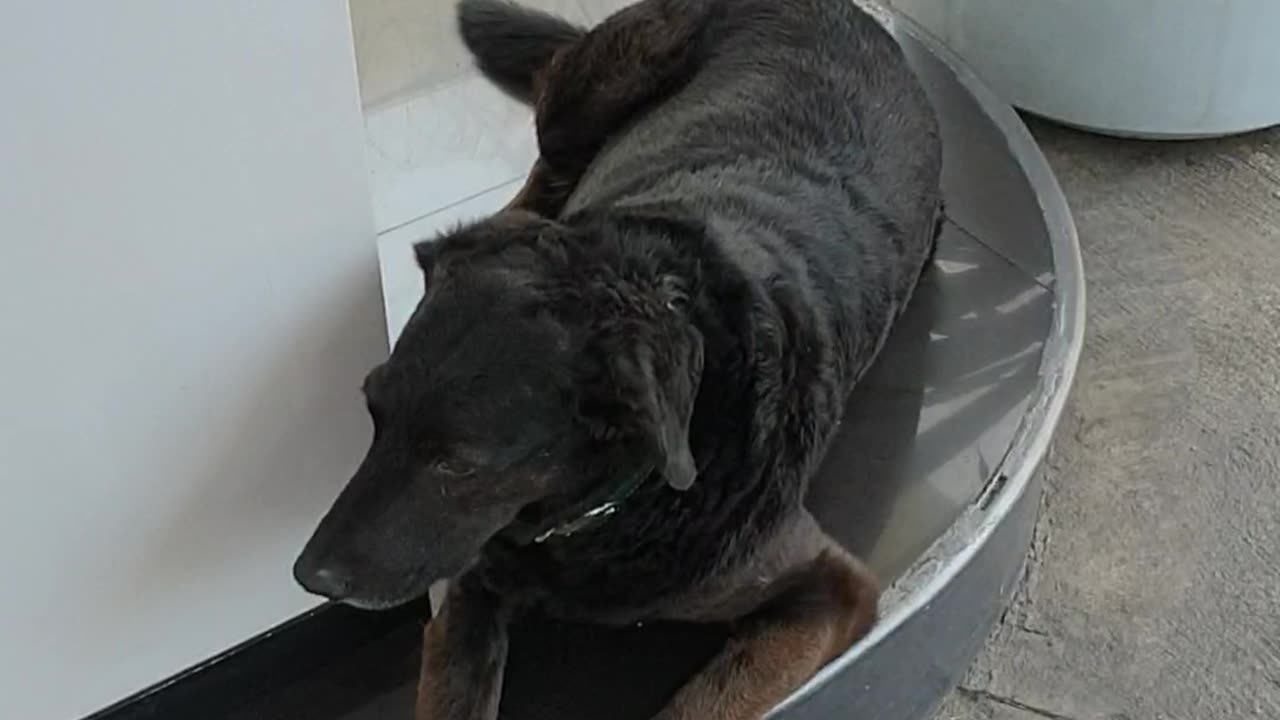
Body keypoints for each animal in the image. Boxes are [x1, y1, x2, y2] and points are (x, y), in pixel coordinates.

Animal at [294, 2, 947, 712]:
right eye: (373, 415)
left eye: (458, 464)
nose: (307, 576)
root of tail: (851, 13)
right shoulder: (472, 587)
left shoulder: (831, 588)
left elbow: (701, 704)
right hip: (591, 96)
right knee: (541, 175)